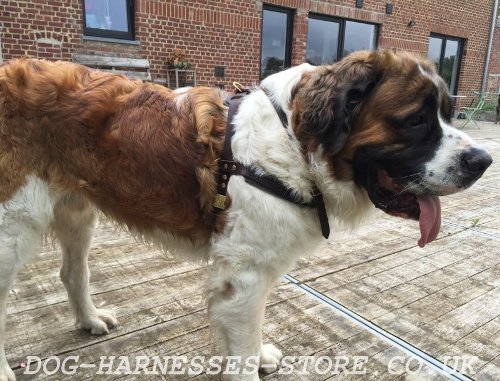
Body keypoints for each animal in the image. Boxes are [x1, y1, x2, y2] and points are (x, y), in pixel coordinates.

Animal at [0, 49, 492, 378]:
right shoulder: (245, 277)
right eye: (415, 121)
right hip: (14, 226)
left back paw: (89, 320)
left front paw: (256, 355)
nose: (483, 161)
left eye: (448, 114)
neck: (295, 143)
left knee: (72, 272)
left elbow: (244, 335)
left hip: (75, 211)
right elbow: (241, 348)